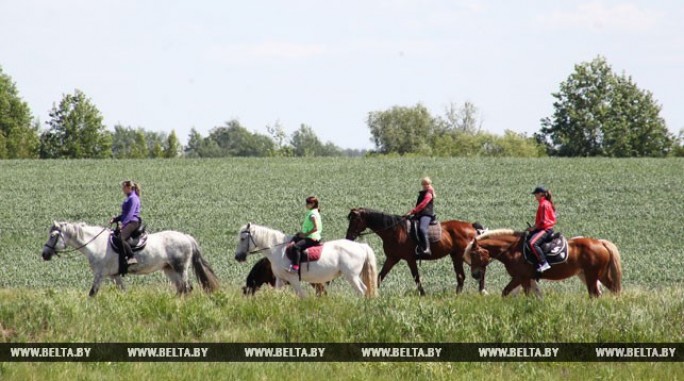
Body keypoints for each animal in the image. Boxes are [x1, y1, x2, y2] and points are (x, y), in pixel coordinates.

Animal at [40, 220, 220, 296]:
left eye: (53, 235)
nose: (44, 254)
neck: (96, 244)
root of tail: (187, 237)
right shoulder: (114, 275)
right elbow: (123, 291)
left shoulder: (100, 275)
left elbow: (92, 293)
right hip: (169, 269)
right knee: (181, 288)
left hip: (180, 268)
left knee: (187, 288)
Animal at [232, 223, 376, 296]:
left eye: (243, 238)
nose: (237, 256)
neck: (279, 249)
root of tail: (361, 246)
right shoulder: (280, 279)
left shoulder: (293, 279)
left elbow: (302, 296)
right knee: (364, 290)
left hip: (351, 276)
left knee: (361, 291)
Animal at [348, 208, 486, 294]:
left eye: (355, 220)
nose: (348, 236)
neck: (395, 231)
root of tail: (471, 226)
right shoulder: (392, 258)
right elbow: (381, 276)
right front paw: (369, 293)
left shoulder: (410, 259)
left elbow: (416, 277)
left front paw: (423, 293)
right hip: (456, 256)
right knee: (462, 276)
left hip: (465, 256)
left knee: (480, 270)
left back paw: (481, 291)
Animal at [462, 229, 624, 296]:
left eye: (474, 254)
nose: (475, 275)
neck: (513, 250)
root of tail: (600, 242)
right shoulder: (527, 279)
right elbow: (533, 295)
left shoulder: (521, 277)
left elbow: (511, 292)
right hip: (596, 275)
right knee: (612, 290)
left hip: (592, 275)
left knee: (595, 293)